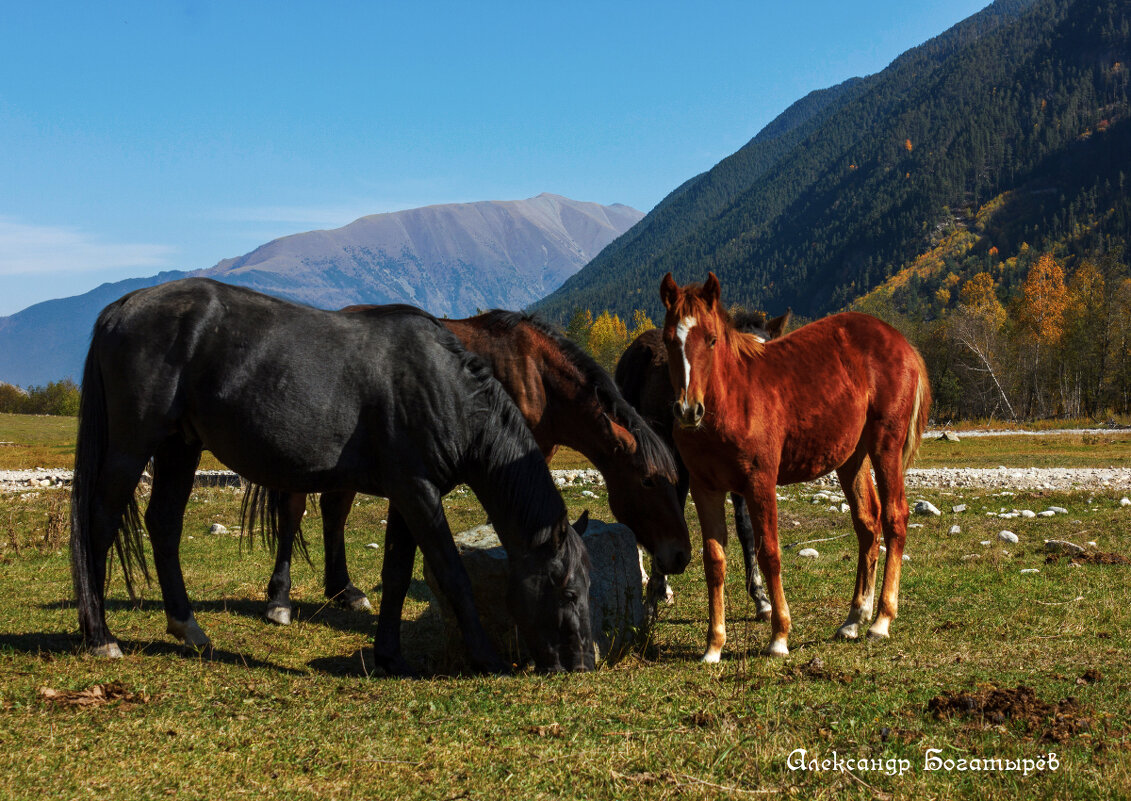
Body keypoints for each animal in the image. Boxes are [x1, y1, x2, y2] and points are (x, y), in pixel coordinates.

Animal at [68, 278, 601, 674]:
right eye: (569, 591)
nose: (581, 664)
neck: (443, 387)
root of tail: (122, 308)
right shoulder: (417, 493)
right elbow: (452, 574)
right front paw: (485, 656)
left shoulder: (409, 495)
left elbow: (396, 574)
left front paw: (389, 655)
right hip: (132, 447)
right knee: (98, 523)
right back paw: (100, 635)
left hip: (180, 446)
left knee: (163, 524)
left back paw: (187, 627)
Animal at [263, 309, 687, 660]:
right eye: (648, 481)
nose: (680, 555)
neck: (537, 375)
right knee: (292, 513)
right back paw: (279, 600)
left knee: (333, 512)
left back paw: (343, 592)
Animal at [660, 272, 931, 660]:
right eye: (669, 340)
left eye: (711, 340)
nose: (687, 410)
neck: (731, 400)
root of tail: (900, 341)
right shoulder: (704, 487)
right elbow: (714, 560)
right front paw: (713, 645)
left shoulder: (759, 481)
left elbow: (769, 552)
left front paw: (779, 637)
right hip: (852, 458)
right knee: (868, 523)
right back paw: (853, 618)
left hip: (886, 448)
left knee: (895, 516)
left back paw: (881, 620)